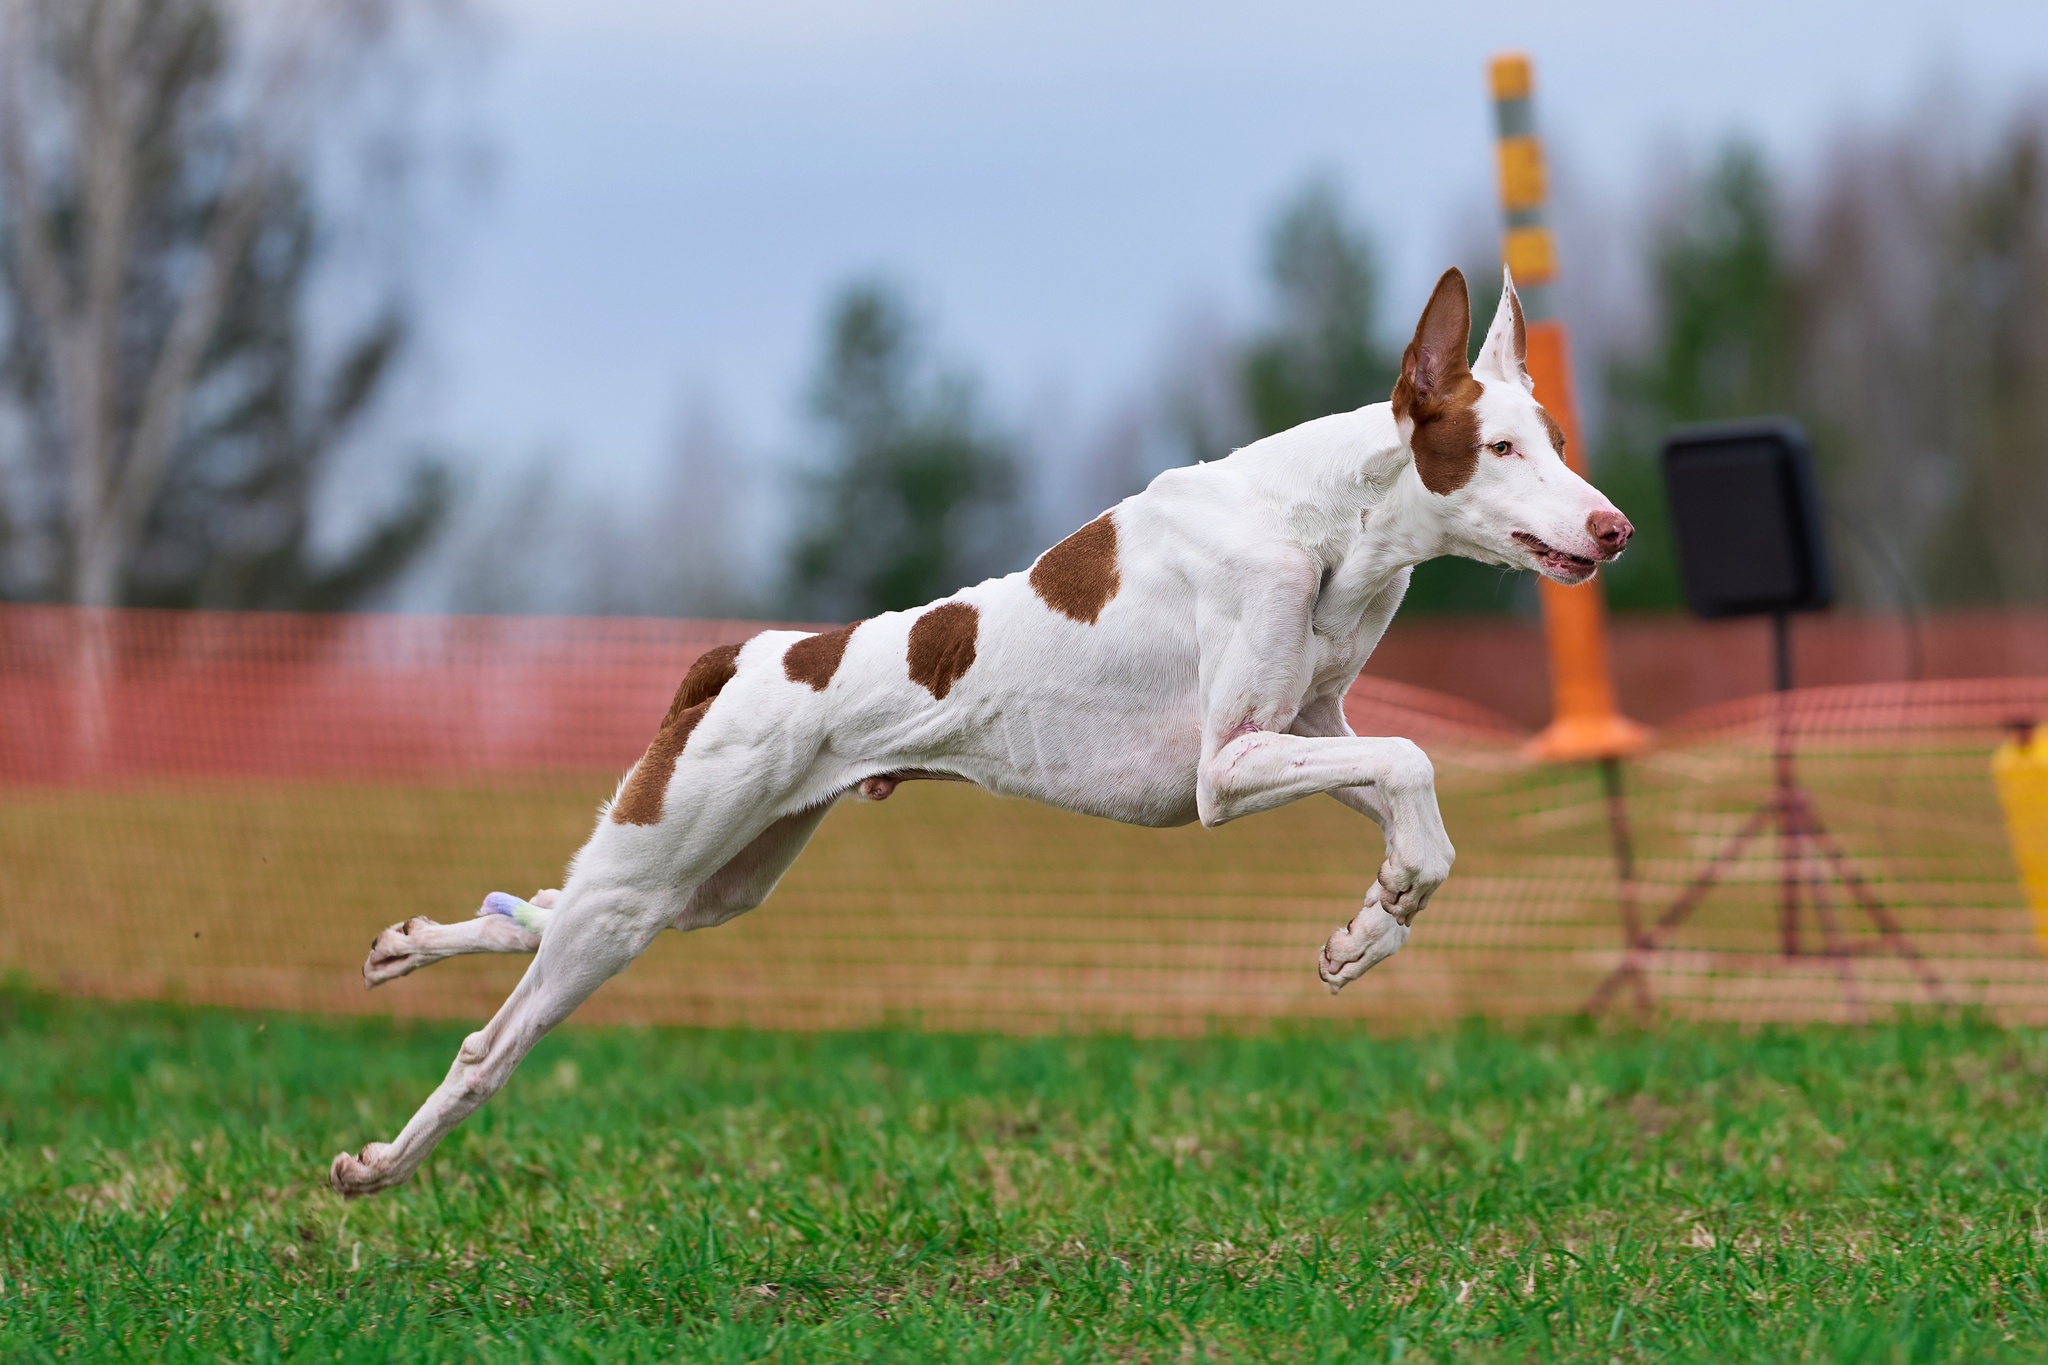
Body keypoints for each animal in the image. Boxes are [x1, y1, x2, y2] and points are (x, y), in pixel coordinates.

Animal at [331, 266, 1630, 1195]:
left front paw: (1368, 931)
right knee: (491, 1044)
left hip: (711, 885)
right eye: (1499, 447)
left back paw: (408, 945)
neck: (1329, 521)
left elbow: (1415, 803)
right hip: (652, 881)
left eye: (1561, 441)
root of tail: (740, 654)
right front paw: (1384, 906)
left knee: (543, 909)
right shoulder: (1227, 766)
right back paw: (382, 1162)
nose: (1612, 527)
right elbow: (1413, 762)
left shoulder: (1306, 726)